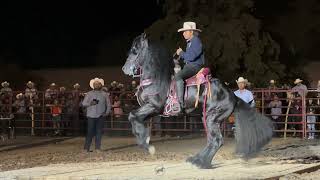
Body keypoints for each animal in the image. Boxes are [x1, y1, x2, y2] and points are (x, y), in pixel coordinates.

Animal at [122, 32, 272, 169]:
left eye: (135, 50)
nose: (124, 69)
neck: (156, 79)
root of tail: (232, 95)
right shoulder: (151, 110)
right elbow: (135, 118)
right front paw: (145, 139)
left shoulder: (153, 106)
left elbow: (132, 116)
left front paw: (148, 145)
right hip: (207, 117)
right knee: (212, 140)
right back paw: (196, 160)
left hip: (212, 117)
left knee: (216, 140)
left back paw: (201, 163)